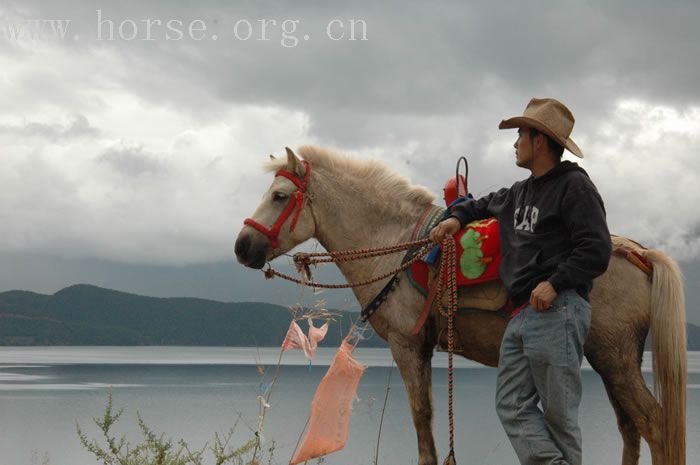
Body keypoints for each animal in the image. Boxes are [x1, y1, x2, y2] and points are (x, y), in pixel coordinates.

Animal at [232, 145, 688, 464]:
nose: (241, 247)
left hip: (615, 358)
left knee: (654, 426)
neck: (396, 244)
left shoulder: (407, 346)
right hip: (612, 359)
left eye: (279, 195)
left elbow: (422, 420)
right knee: (630, 429)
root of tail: (639, 254)